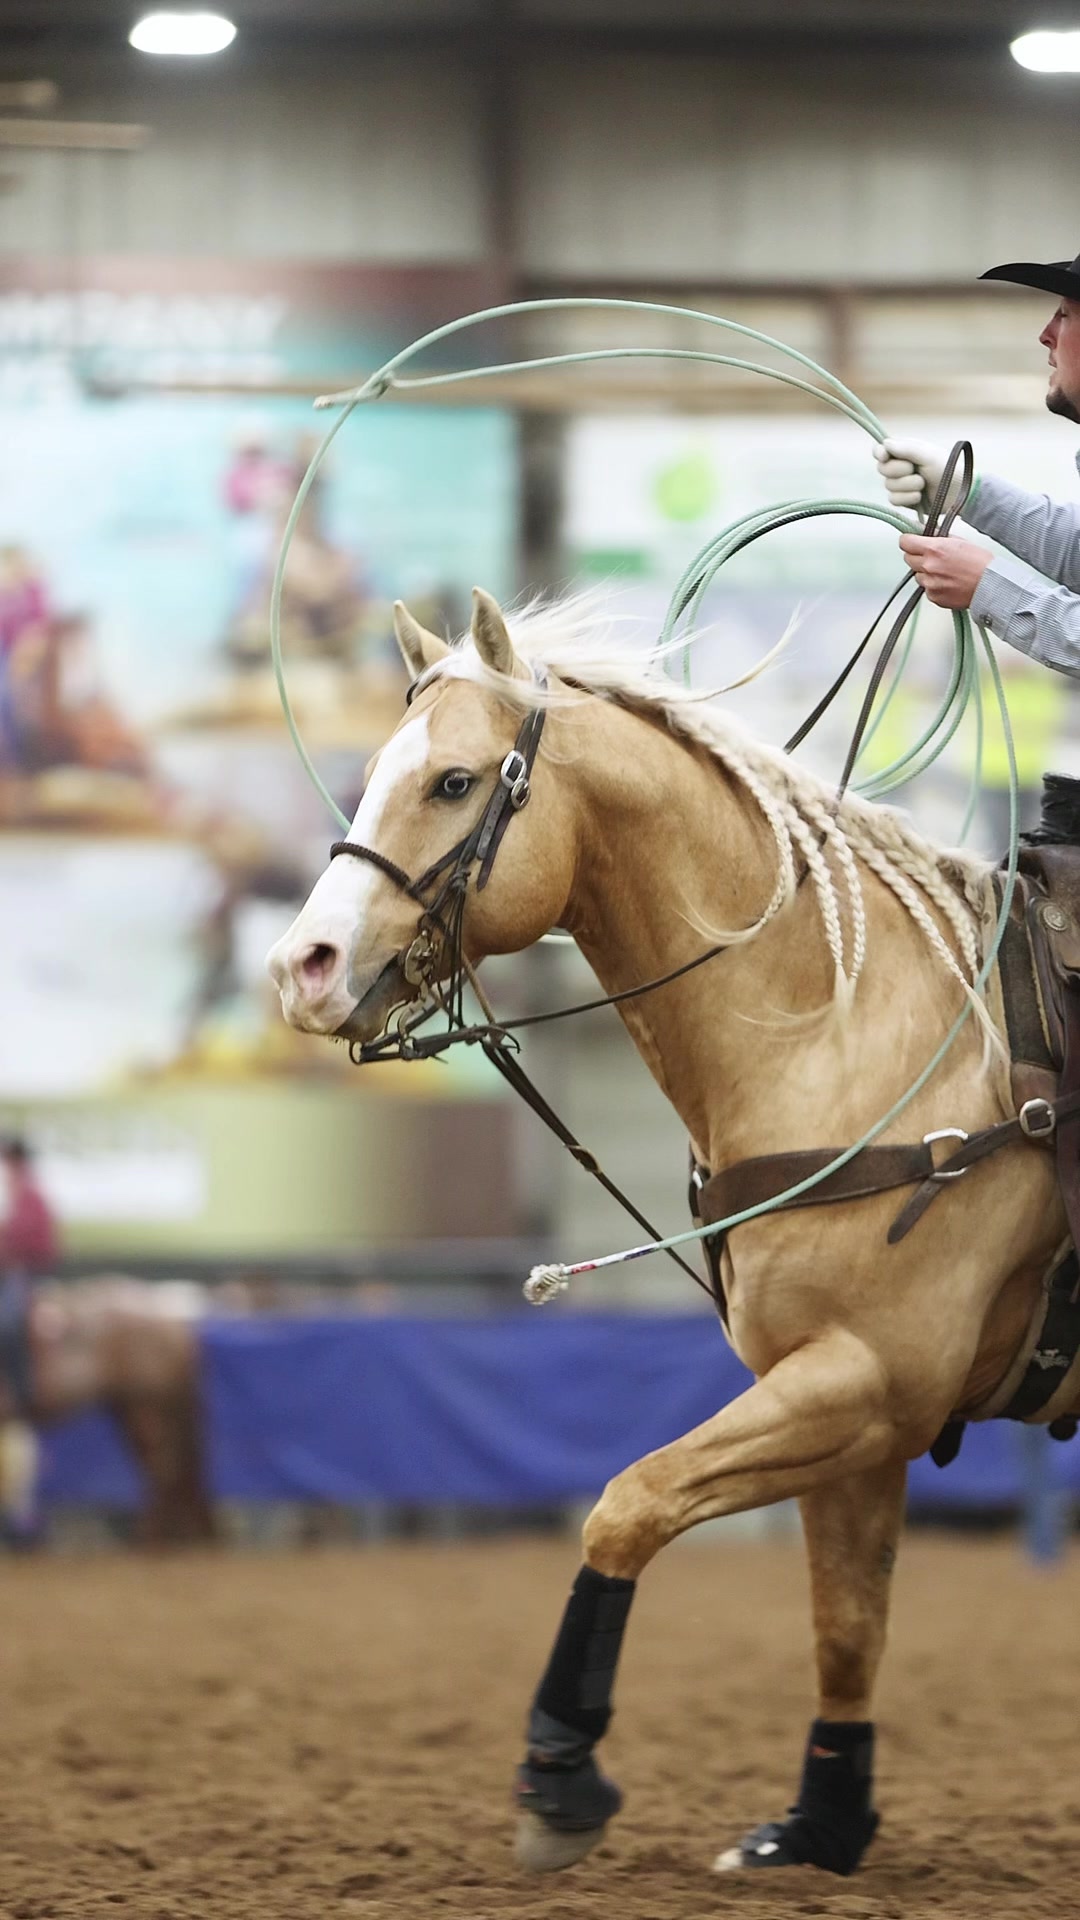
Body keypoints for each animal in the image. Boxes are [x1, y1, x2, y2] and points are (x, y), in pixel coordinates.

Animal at [266, 586, 1068, 1880]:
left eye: (452, 781)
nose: (304, 967)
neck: (848, 1033)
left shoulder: (865, 1382)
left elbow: (630, 1502)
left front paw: (557, 1771)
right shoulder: (851, 1405)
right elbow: (847, 1623)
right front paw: (821, 1825)